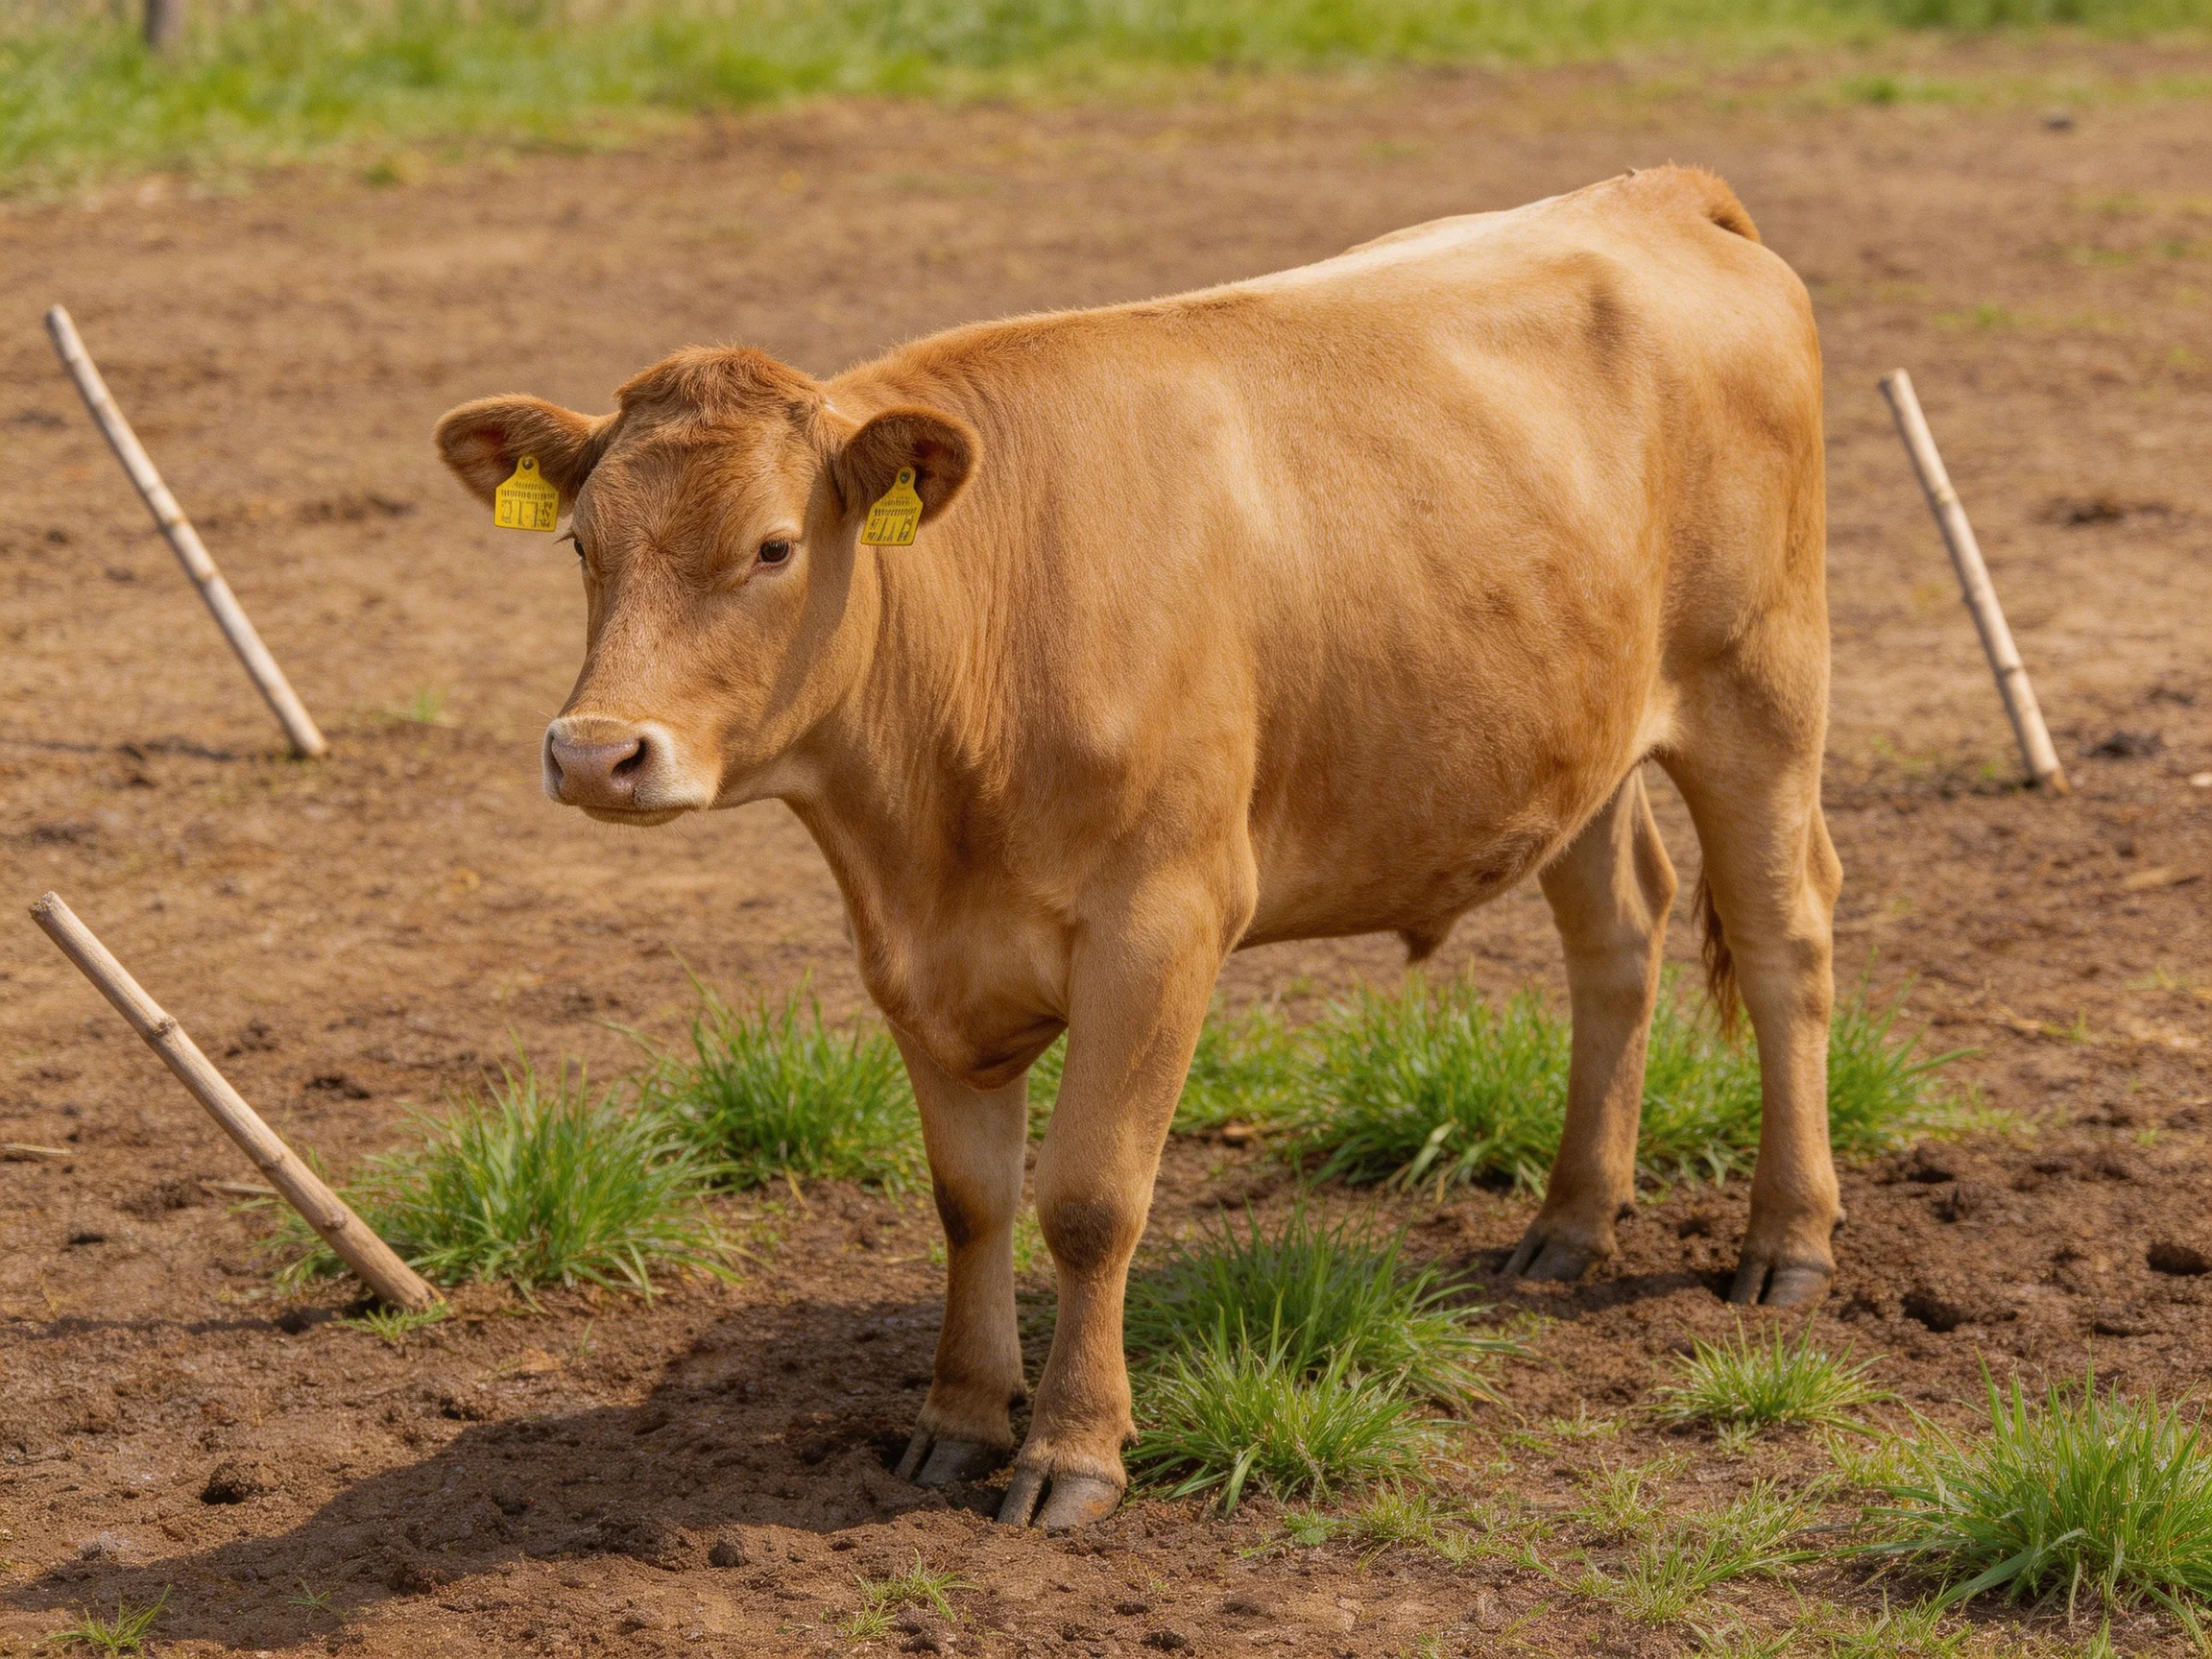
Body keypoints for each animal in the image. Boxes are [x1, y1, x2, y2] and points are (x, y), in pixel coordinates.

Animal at [434, 165, 1840, 1530]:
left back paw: (1789, 1242)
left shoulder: (1163, 924)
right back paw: (1570, 1223)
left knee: (1787, 945)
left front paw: (1073, 1449)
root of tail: (1650, 194)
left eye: (775, 546)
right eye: (580, 543)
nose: (596, 754)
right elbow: (971, 1201)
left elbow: (1091, 1200)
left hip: (1759, 693)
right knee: (1620, 936)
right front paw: (958, 1417)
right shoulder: (914, 956)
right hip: (1574, 740)